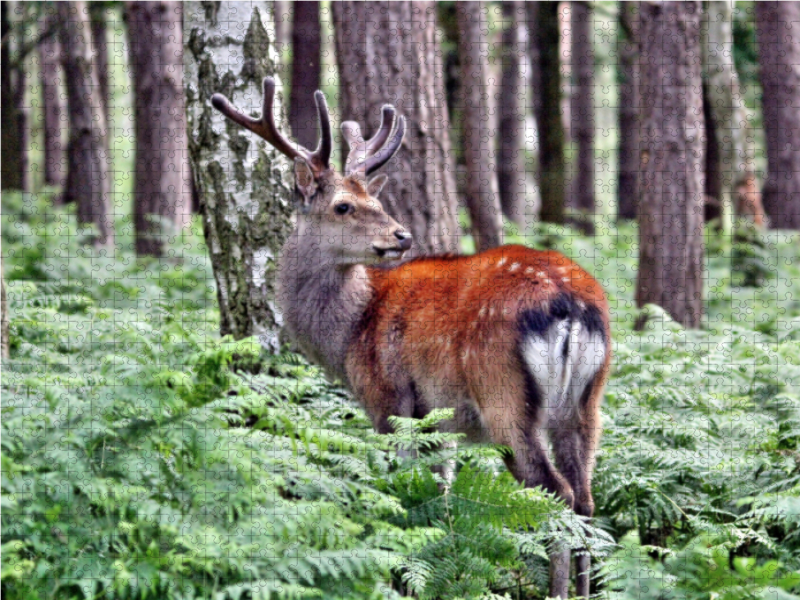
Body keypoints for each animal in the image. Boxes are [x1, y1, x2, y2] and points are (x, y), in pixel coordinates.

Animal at [212, 77, 612, 596]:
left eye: (374, 203)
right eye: (345, 206)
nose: (401, 235)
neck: (349, 335)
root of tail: (574, 306)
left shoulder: (388, 397)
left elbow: (400, 487)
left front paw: (402, 568)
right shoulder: (438, 421)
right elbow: (440, 492)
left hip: (503, 393)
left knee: (554, 492)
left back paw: (555, 589)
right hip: (587, 401)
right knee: (585, 497)